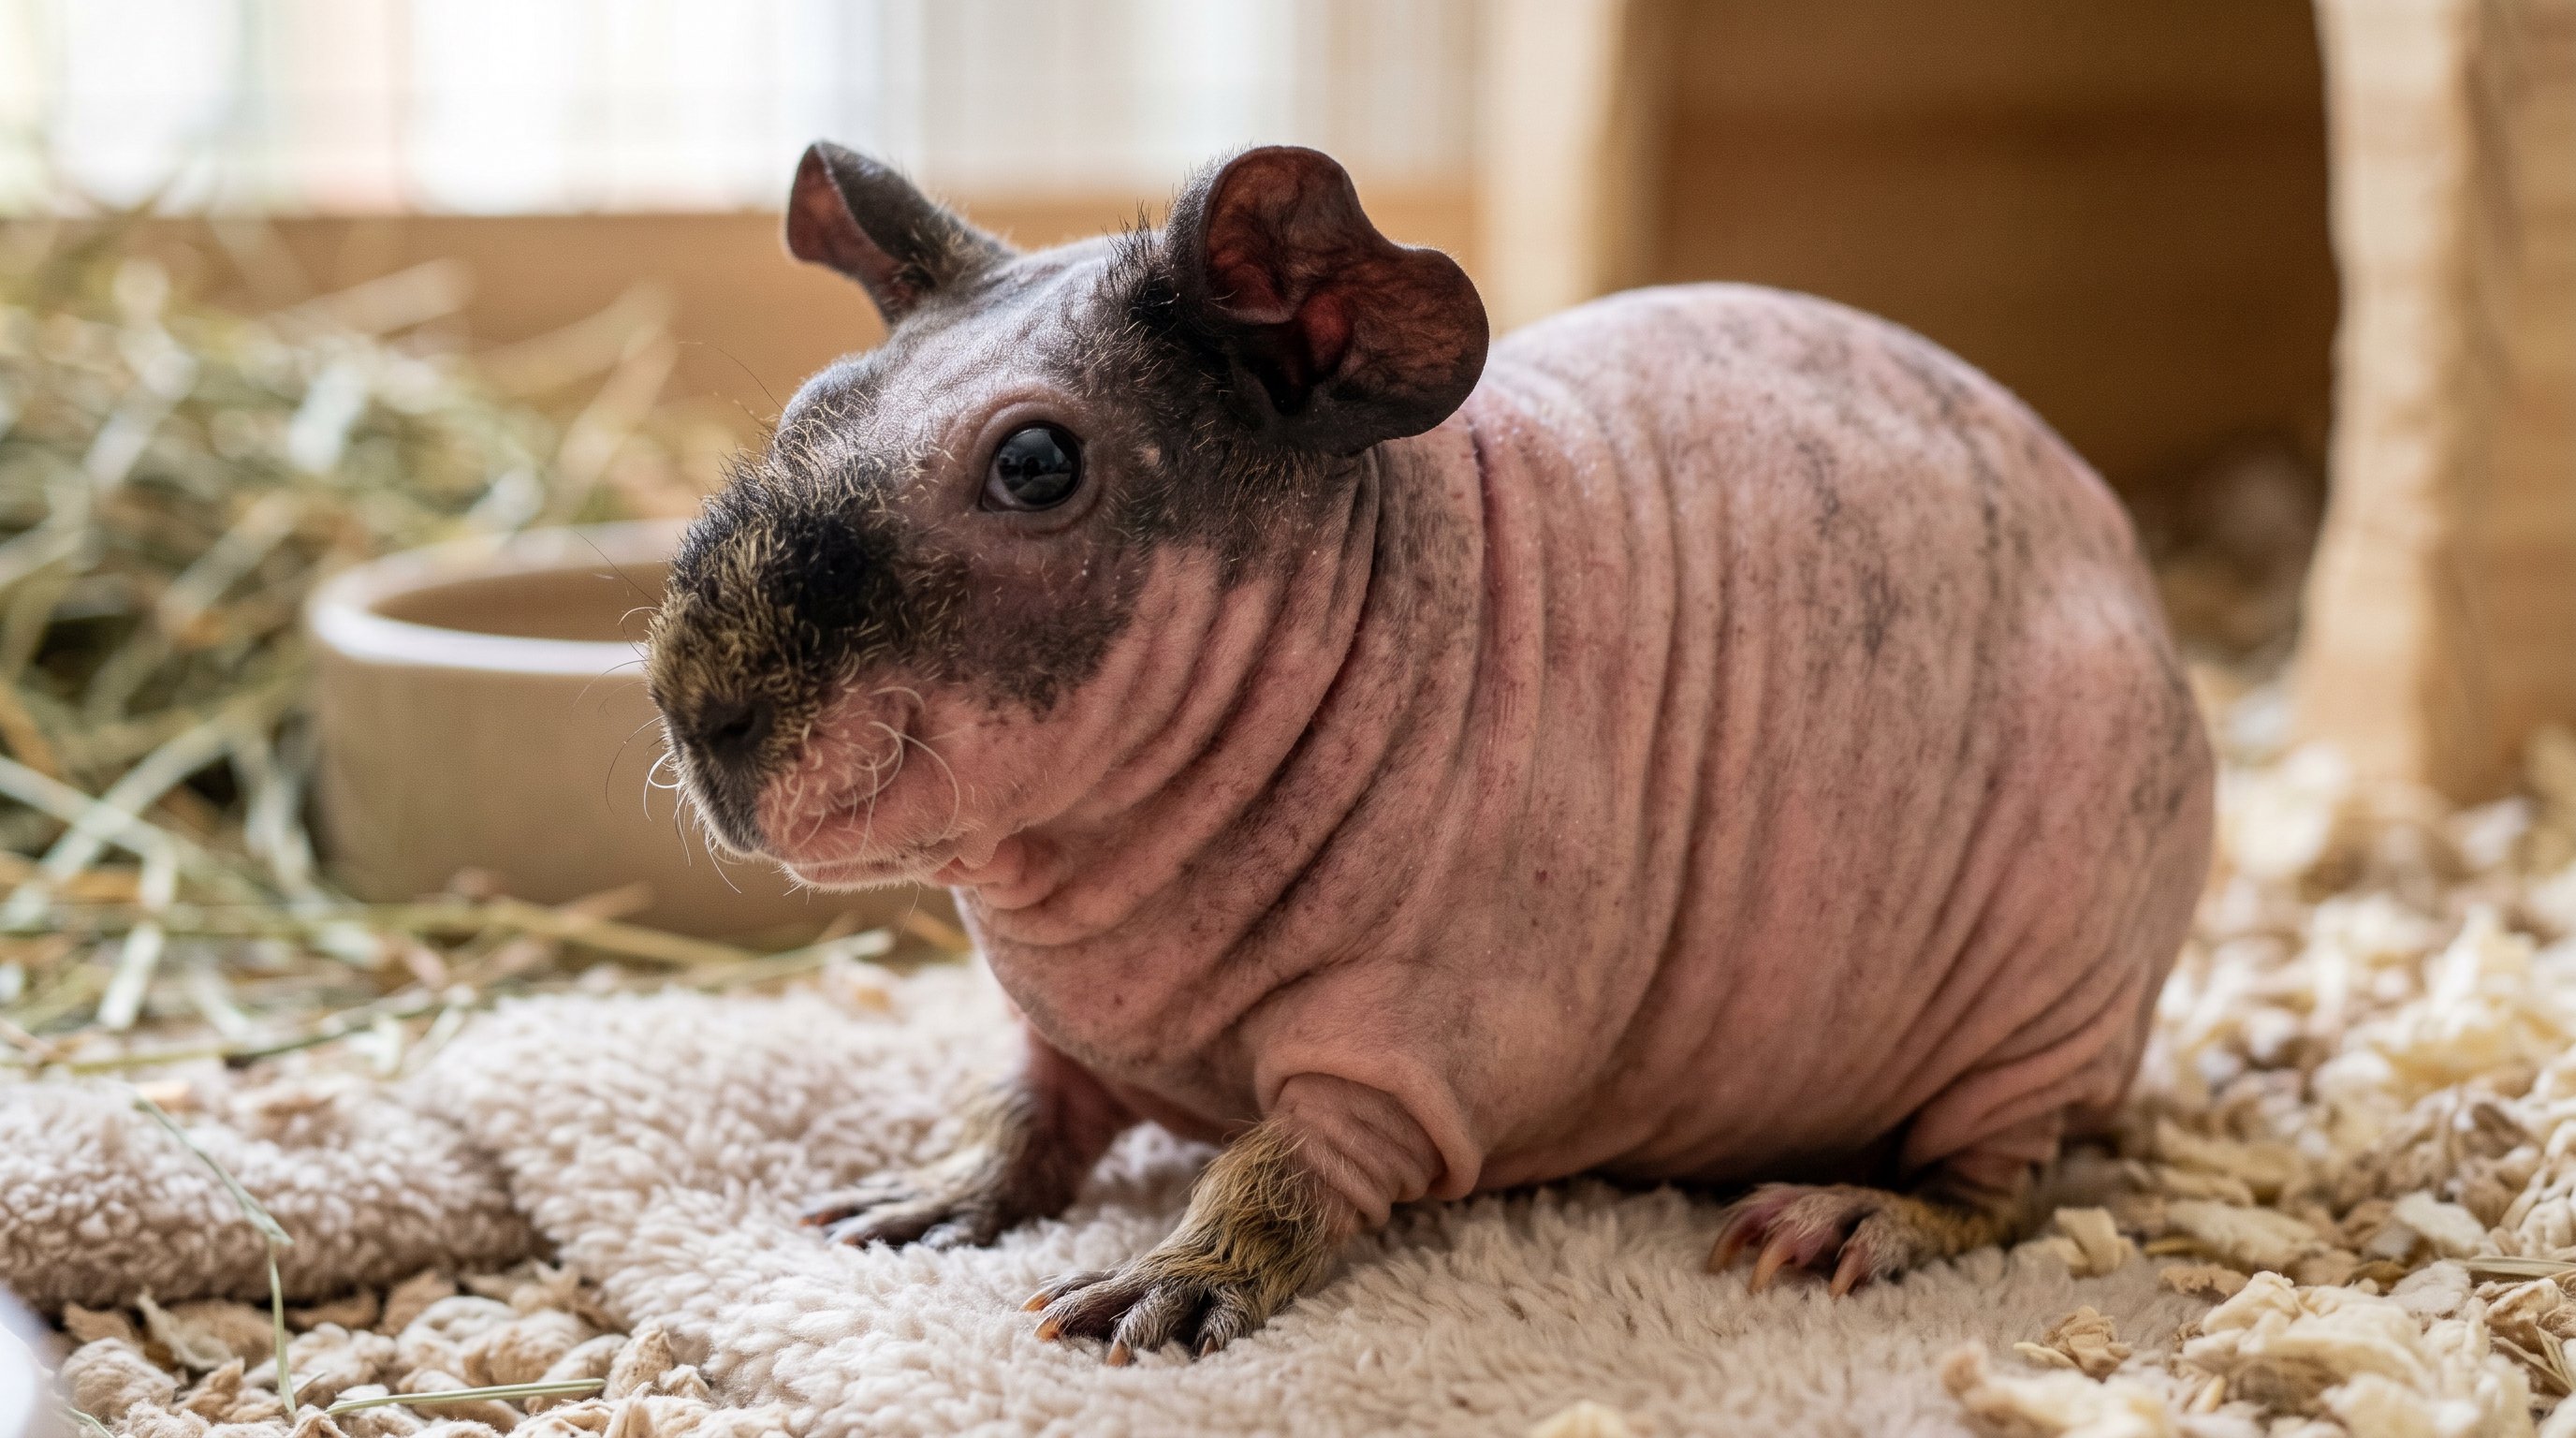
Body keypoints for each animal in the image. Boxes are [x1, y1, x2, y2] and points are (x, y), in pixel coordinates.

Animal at [644, 141, 2214, 1363]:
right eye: (811, 408)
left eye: (1036, 465)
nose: (694, 709)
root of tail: (2137, 581)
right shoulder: (1058, 1030)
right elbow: (1024, 1103)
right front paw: (922, 1199)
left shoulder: (1419, 1050)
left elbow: (1281, 1168)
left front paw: (1160, 1284)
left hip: (2049, 1002)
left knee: (2004, 1183)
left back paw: (1852, 1217)